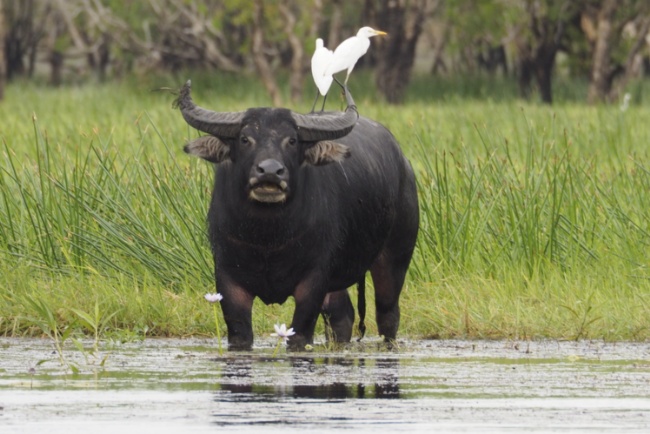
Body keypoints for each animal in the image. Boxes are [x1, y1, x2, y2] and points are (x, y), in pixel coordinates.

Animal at [175, 81, 418, 350]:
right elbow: (240, 334)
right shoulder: (228, 280)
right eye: (245, 138)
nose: (270, 171)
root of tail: (403, 163)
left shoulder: (314, 279)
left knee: (387, 314)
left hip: (395, 256)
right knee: (341, 315)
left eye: (292, 140)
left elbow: (300, 334)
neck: (267, 238)